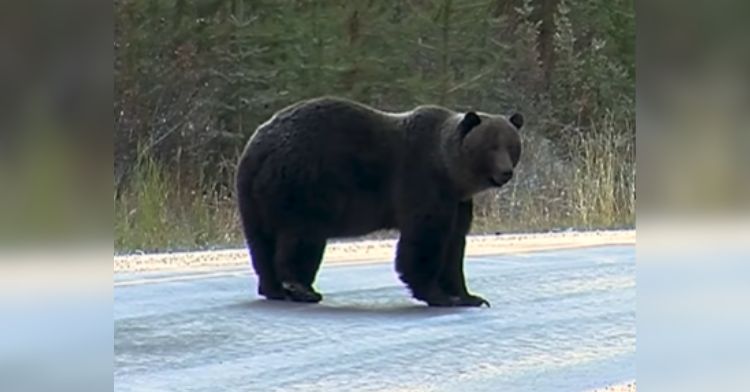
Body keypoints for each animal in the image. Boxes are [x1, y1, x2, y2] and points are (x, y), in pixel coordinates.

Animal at [236, 96, 524, 308]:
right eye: (490, 146)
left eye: (511, 146)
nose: (506, 172)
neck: (450, 171)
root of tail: (257, 147)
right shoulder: (422, 182)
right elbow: (424, 239)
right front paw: (438, 295)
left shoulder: (457, 202)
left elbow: (455, 243)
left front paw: (470, 296)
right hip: (304, 184)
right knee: (302, 237)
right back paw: (301, 288)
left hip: (253, 197)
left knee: (262, 242)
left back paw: (274, 288)